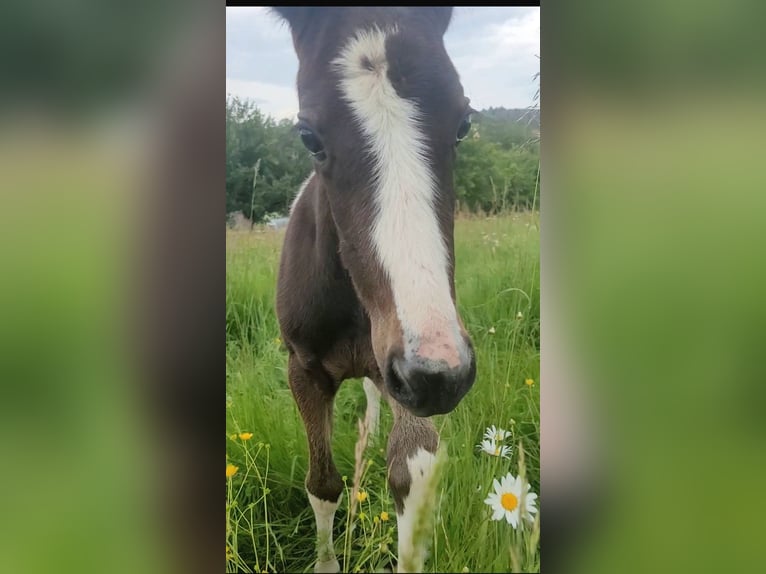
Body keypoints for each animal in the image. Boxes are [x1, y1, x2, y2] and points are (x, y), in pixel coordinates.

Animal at [272, 6, 476, 572]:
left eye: (464, 124)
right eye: (308, 136)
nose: (439, 376)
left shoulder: (406, 378)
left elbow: (411, 473)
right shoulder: (304, 369)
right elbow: (322, 484)